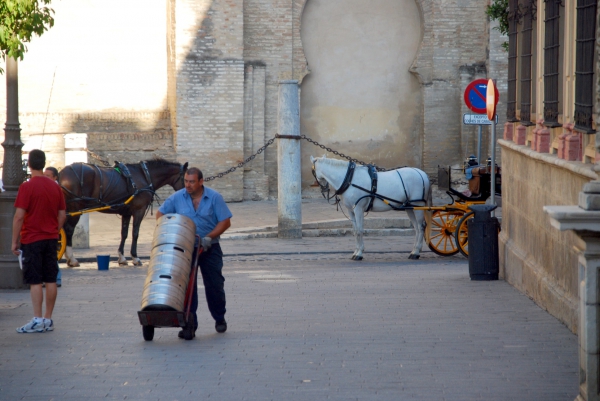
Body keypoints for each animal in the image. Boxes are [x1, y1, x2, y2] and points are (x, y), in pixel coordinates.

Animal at [60, 157, 188, 266]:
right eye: (186, 180)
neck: (145, 175)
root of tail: (62, 173)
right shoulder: (139, 210)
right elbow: (135, 233)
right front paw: (135, 257)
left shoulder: (126, 213)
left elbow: (124, 233)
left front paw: (122, 257)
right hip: (75, 208)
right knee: (69, 230)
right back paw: (71, 258)